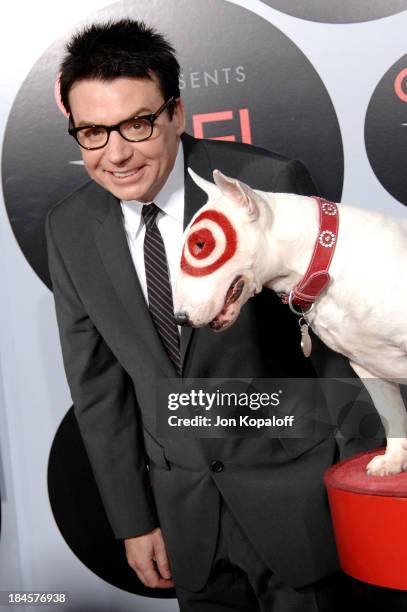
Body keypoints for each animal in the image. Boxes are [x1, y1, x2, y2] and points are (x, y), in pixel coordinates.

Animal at [174, 169, 407, 478]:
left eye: (200, 245)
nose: (179, 317)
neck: (322, 259)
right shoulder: (367, 365)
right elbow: (391, 412)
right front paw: (393, 460)